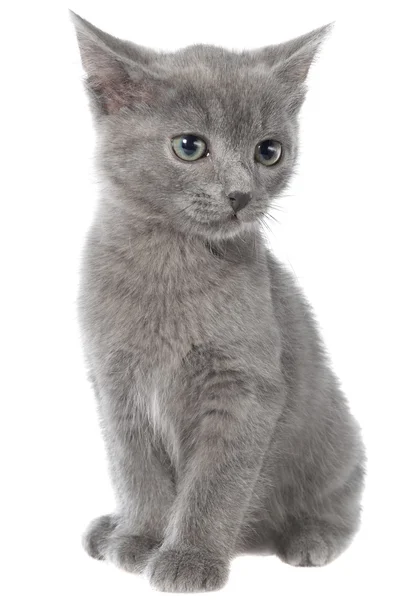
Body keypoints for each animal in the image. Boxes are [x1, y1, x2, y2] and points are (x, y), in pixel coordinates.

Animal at [72, 11, 366, 592]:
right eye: (190, 146)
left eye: (269, 151)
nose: (241, 194)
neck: (171, 266)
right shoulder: (115, 383)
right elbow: (135, 469)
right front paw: (139, 539)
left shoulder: (245, 388)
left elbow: (216, 481)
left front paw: (189, 558)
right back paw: (110, 528)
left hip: (337, 440)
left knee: (342, 500)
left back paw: (311, 538)